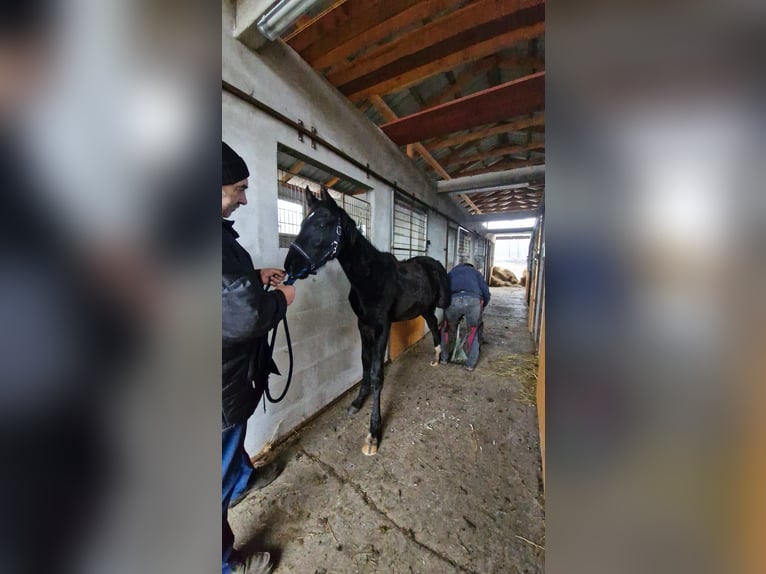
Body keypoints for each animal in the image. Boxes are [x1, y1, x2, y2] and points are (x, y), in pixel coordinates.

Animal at [284, 187, 452, 456]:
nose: (290, 265)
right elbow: (364, 362)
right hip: (424, 309)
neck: (370, 278)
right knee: (435, 325)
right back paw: (436, 356)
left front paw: (373, 434)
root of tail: (433, 263)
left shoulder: (382, 327)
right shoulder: (363, 325)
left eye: (321, 224)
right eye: (302, 223)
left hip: (442, 302)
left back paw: (445, 355)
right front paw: (357, 402)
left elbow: (376, 374)